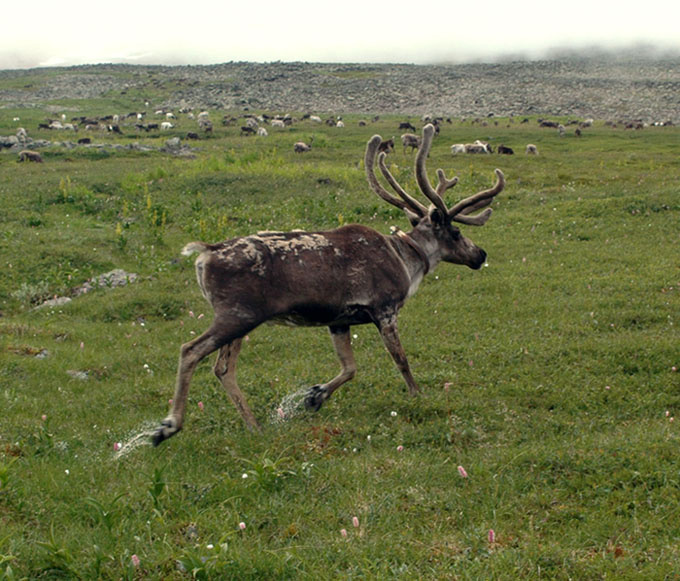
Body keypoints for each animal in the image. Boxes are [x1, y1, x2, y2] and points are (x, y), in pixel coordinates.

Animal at [152, 124, 505, 446]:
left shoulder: (339, 319)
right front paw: (417, 396)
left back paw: (254, 426)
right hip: (237, 314)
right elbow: (401, 360)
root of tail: (204, 254)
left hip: (241, 319)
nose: (480, 254)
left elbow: (350, 367)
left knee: (222, 369)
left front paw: (315, 396)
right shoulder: (385, 309)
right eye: (456, 232)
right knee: (190, 351)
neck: (407, 260)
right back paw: (167, 427)